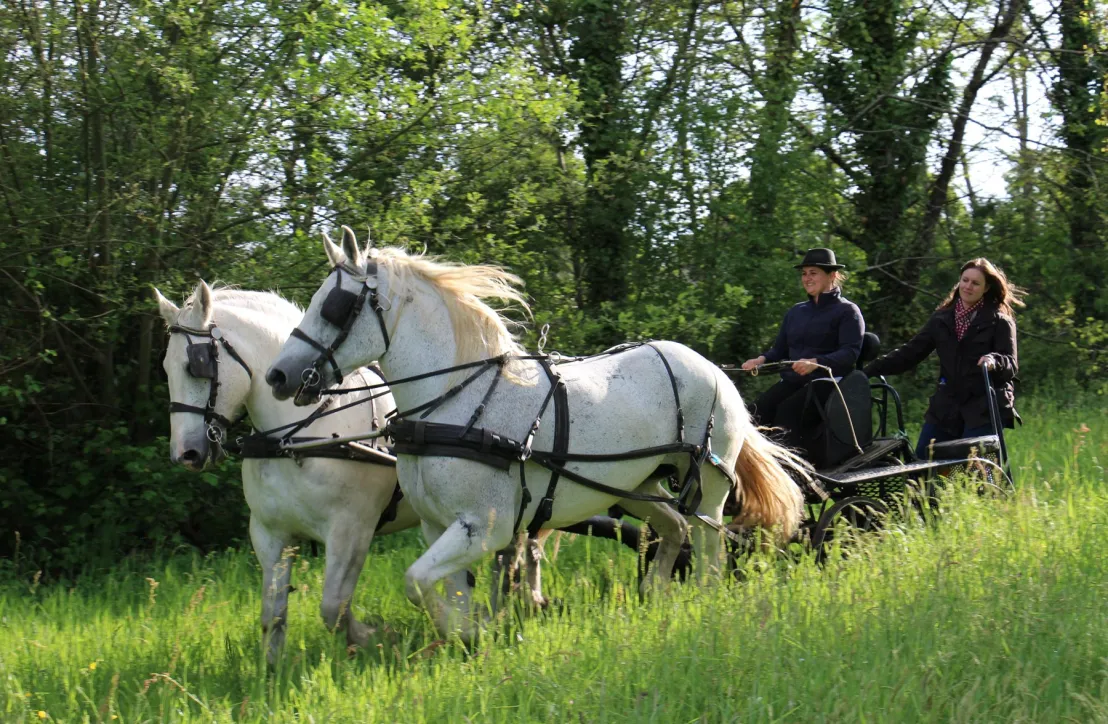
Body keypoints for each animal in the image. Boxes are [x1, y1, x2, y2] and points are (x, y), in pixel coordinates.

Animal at [155, 281, 418, 664]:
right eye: (166, 367)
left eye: (196, 365)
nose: (184, 454)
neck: (299, 434)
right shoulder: (270, 535)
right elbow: (273, 615)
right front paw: (272, 672)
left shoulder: (351, 531)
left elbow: (334, 608)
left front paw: (375, 637)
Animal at [265, 228, 806, 641]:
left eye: (336, 306)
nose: (278, 376)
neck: (456, 401)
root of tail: (711, 368)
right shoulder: (438, 527)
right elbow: (442, 589)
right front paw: (470, 633)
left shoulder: (484, 527)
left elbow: (416, 581)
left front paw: (473, 631)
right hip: (637, 486)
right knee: (673, 529)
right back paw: (655, 594)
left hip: (708, 487)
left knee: (710, 544)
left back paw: (704, 602)